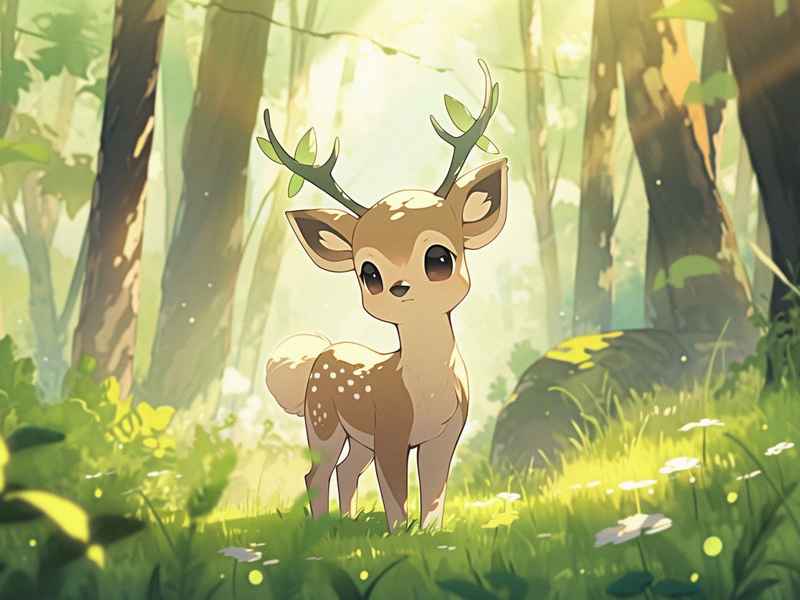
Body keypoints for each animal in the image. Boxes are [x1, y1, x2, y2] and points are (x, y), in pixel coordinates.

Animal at [264, 59, 508, 532]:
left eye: (439, 258)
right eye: (369, 273)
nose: (399, 287)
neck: (426, 393)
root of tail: (317, 356)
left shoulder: (447, 434)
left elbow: (435, 492)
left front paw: (430, 534)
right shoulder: (391, 431)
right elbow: (395, 491)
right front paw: (400, 535)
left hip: (358, 437)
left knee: (346, 470)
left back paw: (348, 520)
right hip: (322, 422)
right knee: (316, 472)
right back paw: (322, 526)